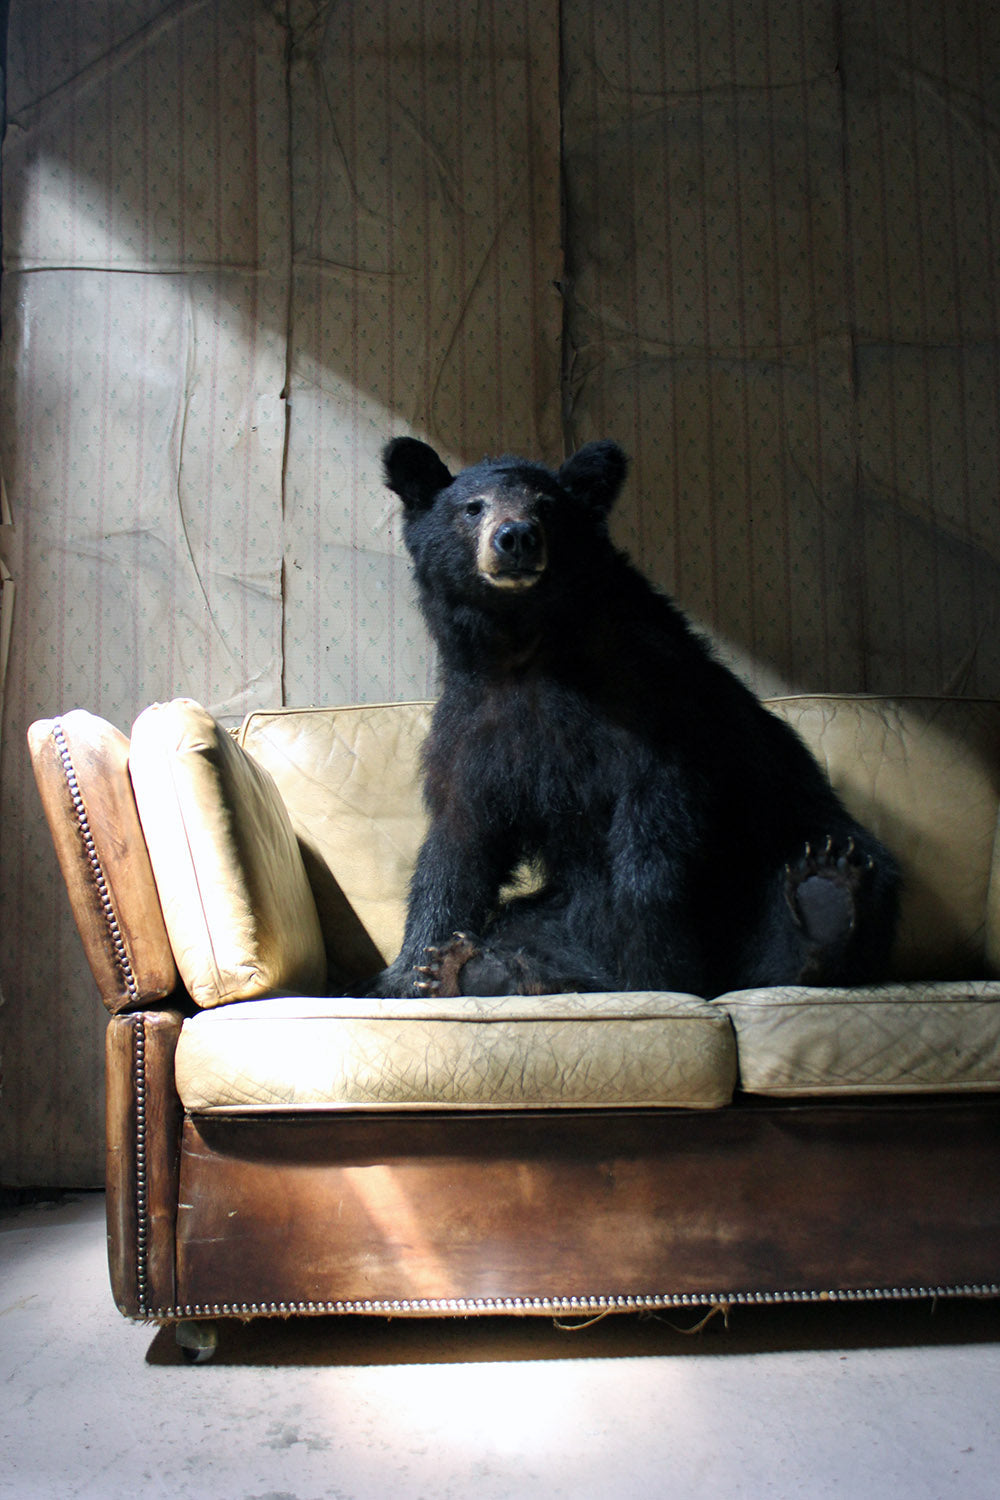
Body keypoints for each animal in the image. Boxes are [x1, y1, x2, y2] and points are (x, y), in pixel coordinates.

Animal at [368, 436, 901, 1000]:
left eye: (548, 506)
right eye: (473, 507)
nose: (516, 537)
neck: (524, 645)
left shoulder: (649, 699)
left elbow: (653, 838)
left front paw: (654, 971)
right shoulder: (476, 724)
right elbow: (458, 842)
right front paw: (410, 970)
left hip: (786, 834)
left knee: (829, 887)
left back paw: (824, 903)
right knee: (532, 924)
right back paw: (479, 969)